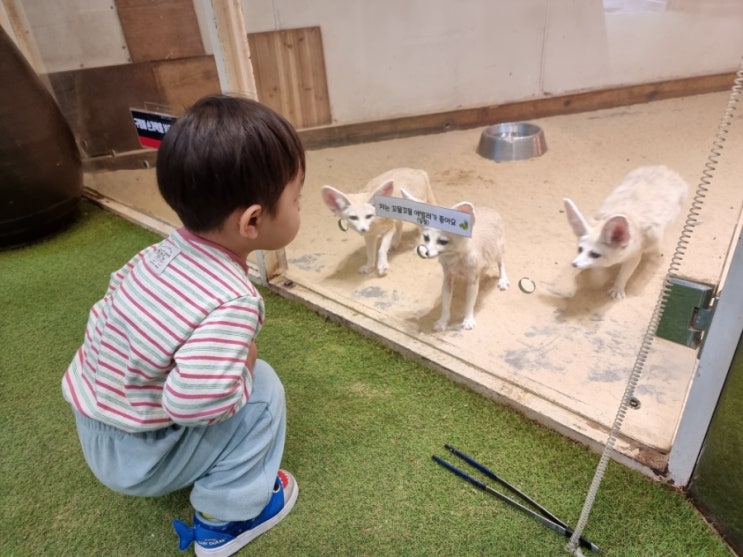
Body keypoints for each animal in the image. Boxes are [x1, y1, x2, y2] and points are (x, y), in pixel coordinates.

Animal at [402, 191, 512, 330]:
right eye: (426, 238)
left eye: (443, 242)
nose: (427, 253)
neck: (454, 258)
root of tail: (490, 209)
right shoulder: (447, 278)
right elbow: (445, 303)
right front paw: (443, 321)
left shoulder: (473, 281)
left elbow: (469, 303)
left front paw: (468, 320)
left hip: (497, 250)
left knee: (501, 262)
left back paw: (503, 279)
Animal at [564, 163, 692, 298]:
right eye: (580, 249)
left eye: (594, 254)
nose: (574, 264)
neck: (627, 217)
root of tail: (664, 168)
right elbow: (598, 271)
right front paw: (595, 275)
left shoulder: (635, 256)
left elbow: (624, 274)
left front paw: (617, 288)